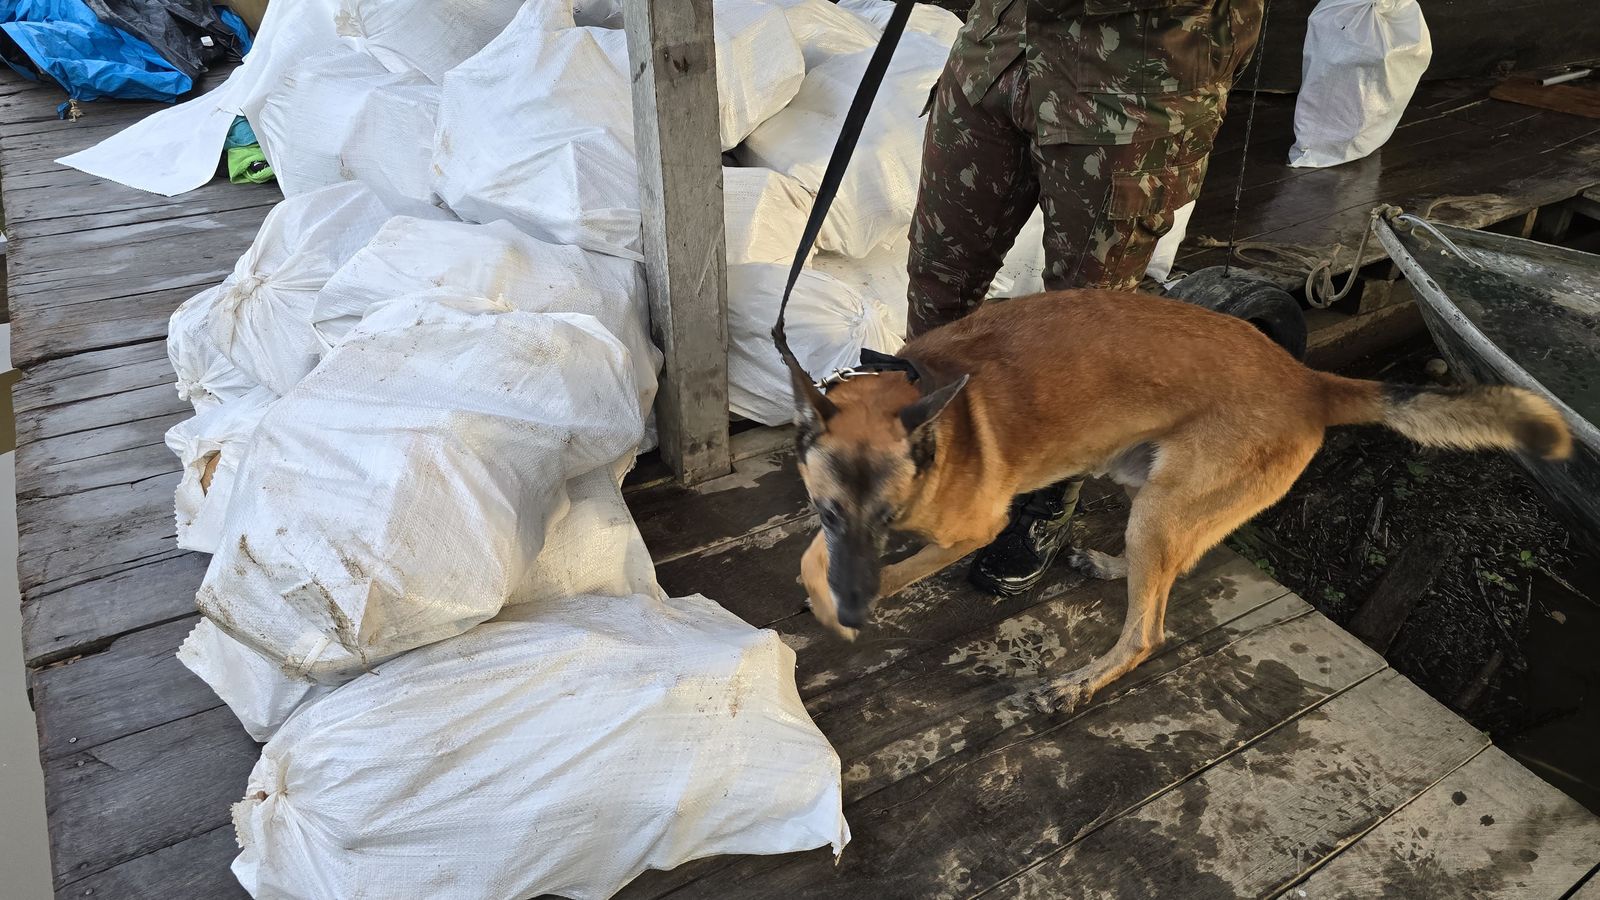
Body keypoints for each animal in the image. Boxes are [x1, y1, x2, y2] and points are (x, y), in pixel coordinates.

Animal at [793, 286, 1568, 707]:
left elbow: (897, 567)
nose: (854, 616)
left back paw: (1078, 683)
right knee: (1172, 568)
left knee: (1147, 631)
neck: (919, 393)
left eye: (890, 518)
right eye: (830, 511)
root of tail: (1310, 382)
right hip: (1152, 492)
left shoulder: (970, 528)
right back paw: (1110, 567)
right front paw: (825, 594)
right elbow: (812, 556)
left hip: (1161, 509)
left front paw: (840, 608)